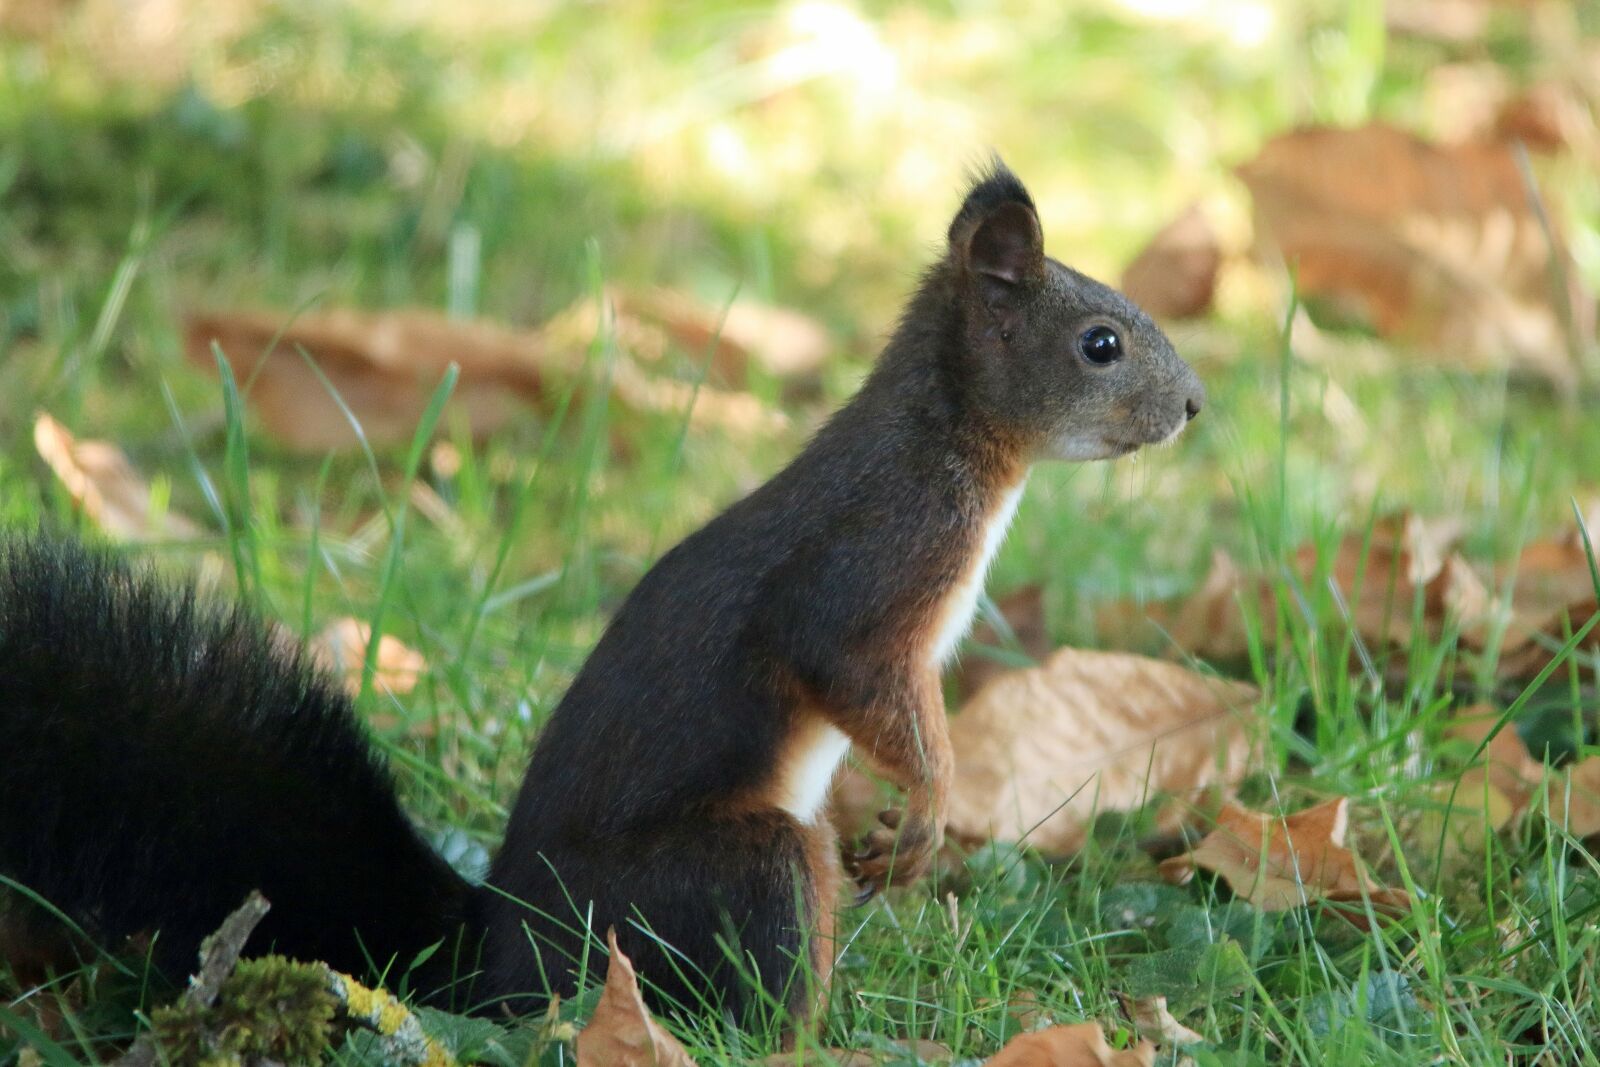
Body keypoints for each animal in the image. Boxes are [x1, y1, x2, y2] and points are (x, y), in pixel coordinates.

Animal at [0, 162, 1202, 1033]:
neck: (952, 439)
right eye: (1100, 345)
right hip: (727, 871)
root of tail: (495, 955)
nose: (1193, 405)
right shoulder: (874, 562)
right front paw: (929, 811)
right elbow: (848, 668)